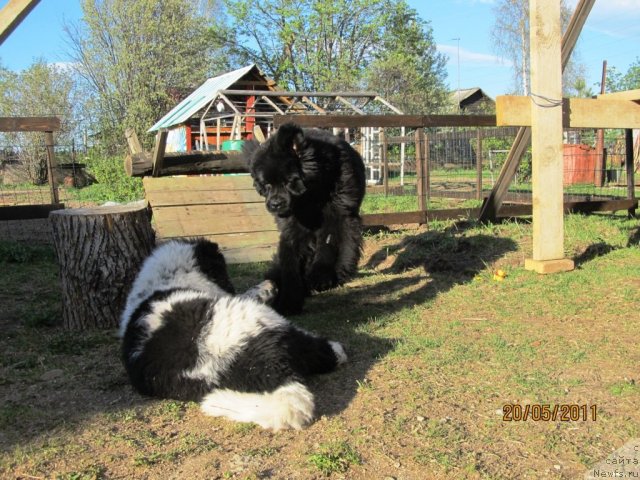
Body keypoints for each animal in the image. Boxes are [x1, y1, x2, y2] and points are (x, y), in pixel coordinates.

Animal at [117, 238, 348, 430]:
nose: (272, 282)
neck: (167, 281)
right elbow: (251, 293)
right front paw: (266, 286)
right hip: (263, 319)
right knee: (319, 352)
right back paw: (335, 349)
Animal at [242, 123, 364, 316]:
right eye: (266, 185)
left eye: (287, 182)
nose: (275, 204)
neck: (309, 197)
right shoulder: (293, 226)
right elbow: (290, 260)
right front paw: (289, 300)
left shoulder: (335, 215)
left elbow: (328, 244)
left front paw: (320, 276)